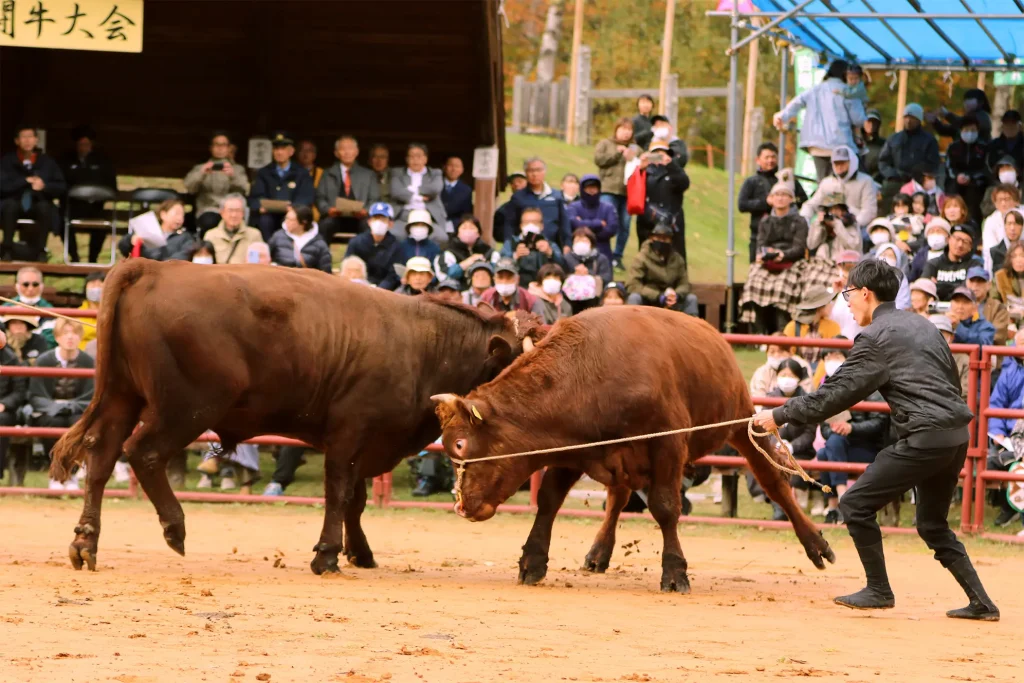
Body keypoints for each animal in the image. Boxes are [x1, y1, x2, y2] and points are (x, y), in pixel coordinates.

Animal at [50, 259, 540, 573]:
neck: (422, 345)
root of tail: (151, 267)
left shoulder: (363, 444)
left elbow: (356, 500)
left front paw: (358, 552)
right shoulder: (349, 434)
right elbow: (340, 494)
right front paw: (327, 554)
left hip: (122, 397)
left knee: (101, 456)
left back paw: (85, 541)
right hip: (185, 408)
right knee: (144, 453)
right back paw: (175, 526)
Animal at [436, 307, 835, 589]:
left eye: (461, 444)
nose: (462, 506)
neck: (591, 373)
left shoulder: (667, 445)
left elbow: (665, 507)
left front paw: (674, 571)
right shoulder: (575, 451)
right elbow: (549, 501)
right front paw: (533, 559)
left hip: (741, 421)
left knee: (774, 482)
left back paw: (815, 544)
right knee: (617, 497)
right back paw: (599, 551)